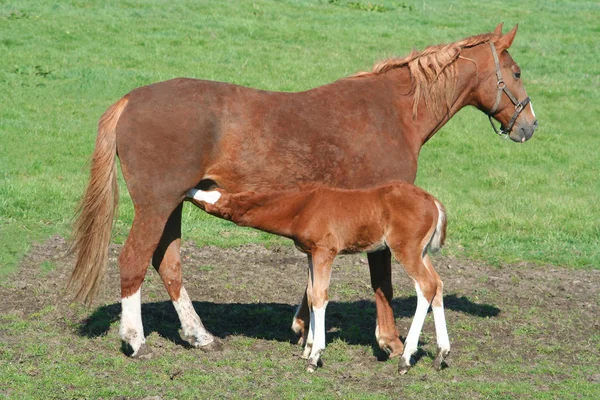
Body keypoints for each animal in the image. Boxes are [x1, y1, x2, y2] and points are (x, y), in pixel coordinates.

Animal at [190, 183, 448, 374]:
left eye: (211, 203)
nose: (189, 191)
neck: (302, 207)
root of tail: (434, 203)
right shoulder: (311, 254)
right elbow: (312, 294)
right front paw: (308, 348)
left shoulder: (325, 251)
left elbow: (320, 297)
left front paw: (314, 357)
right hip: (421, 252)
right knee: (437, 284)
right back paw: (441, 354)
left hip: (405, 249)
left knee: (426, 286)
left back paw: (405, 359)